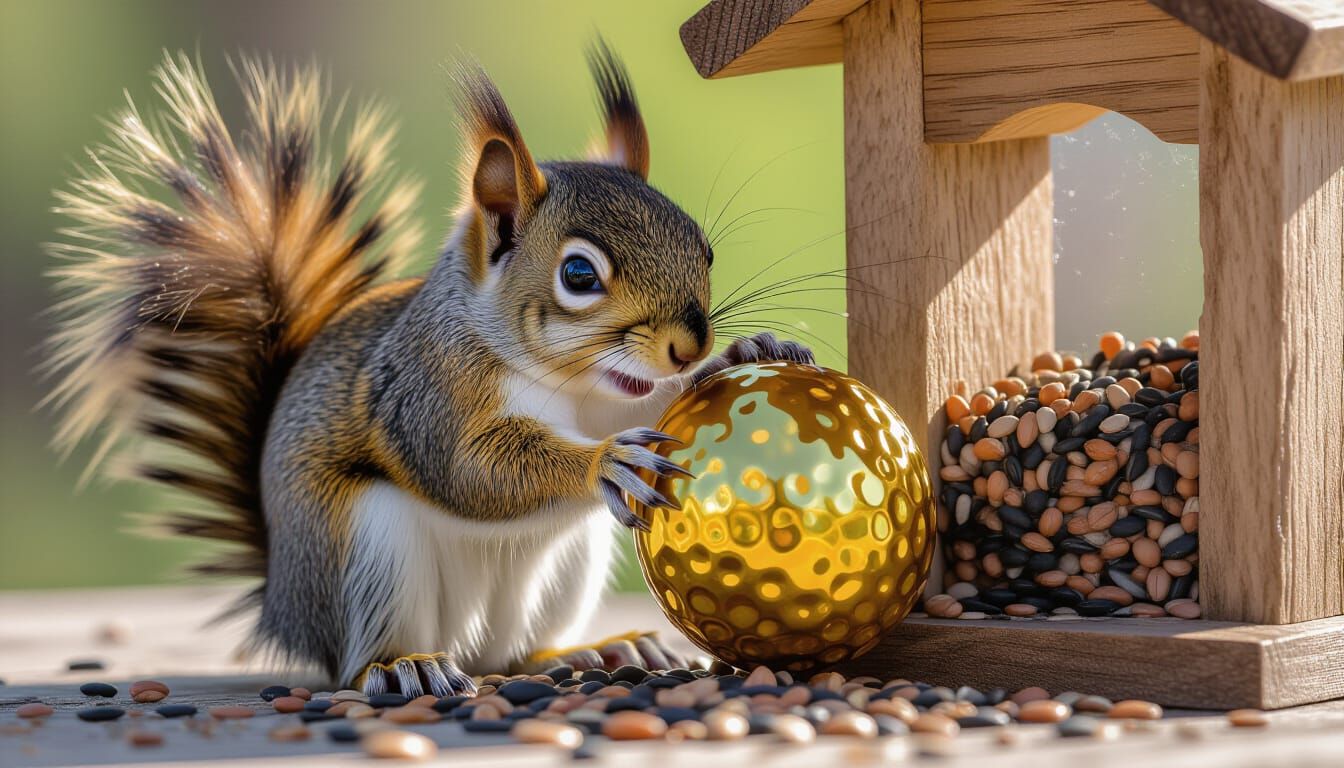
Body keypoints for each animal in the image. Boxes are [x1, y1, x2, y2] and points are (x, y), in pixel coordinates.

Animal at [46, 45, 814, 697]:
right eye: (578, 275)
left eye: (702, 246)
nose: (689, 345)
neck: (563, 380)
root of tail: (284, 606)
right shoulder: (425, 393)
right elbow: (468, 470)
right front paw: (604, 464)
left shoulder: (610, 398)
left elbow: (642, 407)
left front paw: (744, 355)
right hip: (369, 548)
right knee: (365, 658)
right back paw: (402, 667)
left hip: (569, 563)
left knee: (514, 655)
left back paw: (589, 650)